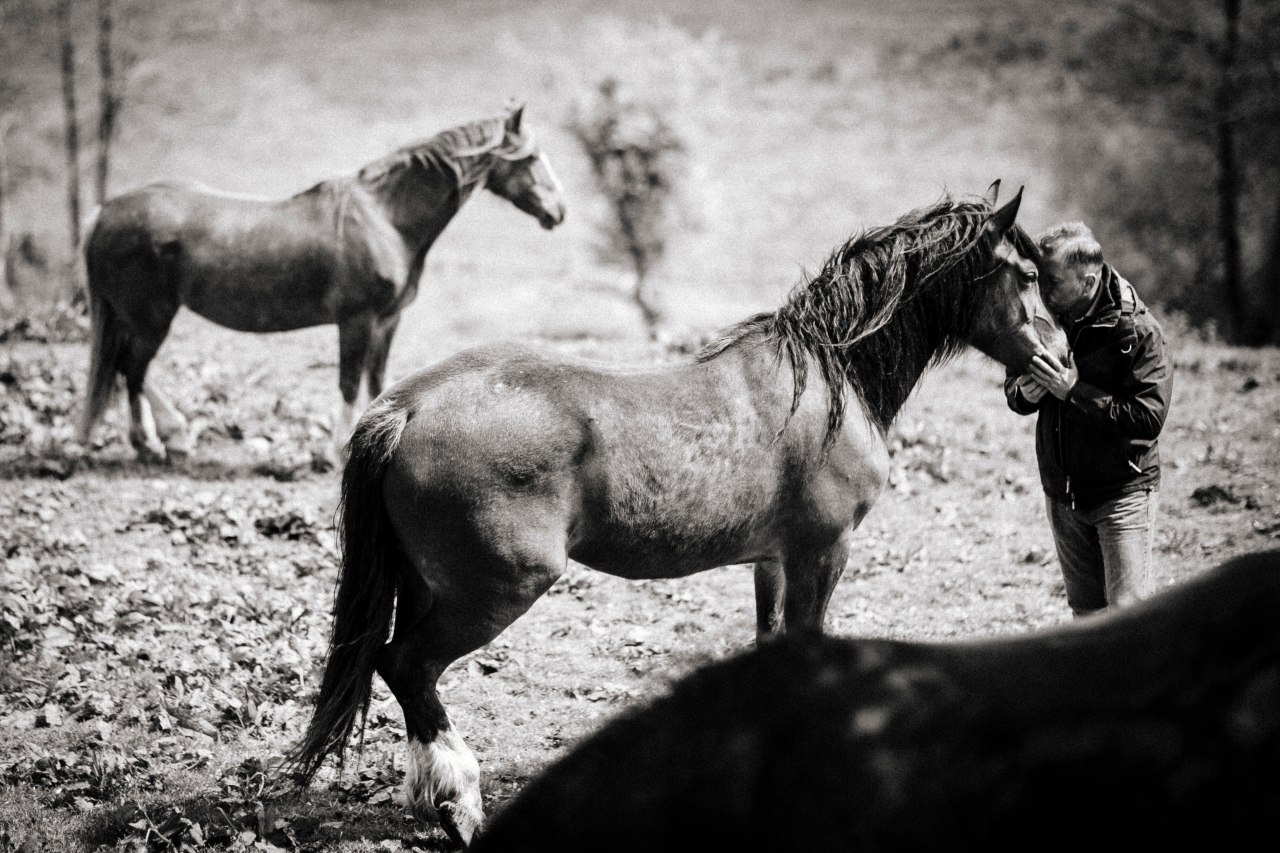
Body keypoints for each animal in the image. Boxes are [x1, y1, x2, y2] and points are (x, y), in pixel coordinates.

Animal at [74, 106, 565, 466]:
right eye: (531, 158)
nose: (559, 211)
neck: (386, 219)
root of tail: (103, 213)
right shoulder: (356, 321)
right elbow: (349, 384)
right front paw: (333, 453)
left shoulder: (387, 322)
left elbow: (377, 382)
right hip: (151, 316)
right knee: (132, 371)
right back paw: (153, 442)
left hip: (139, 317)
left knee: (129, 371)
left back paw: (169, 437)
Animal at [288, 183, 1070, 840]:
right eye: (1027, 276)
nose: (1062, 363)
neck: (829, 377)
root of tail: (407, 408)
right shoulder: (821, 554)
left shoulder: (772, 562)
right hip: (494, 591)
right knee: (407, 664)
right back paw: (459, 802)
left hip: (427, 583)